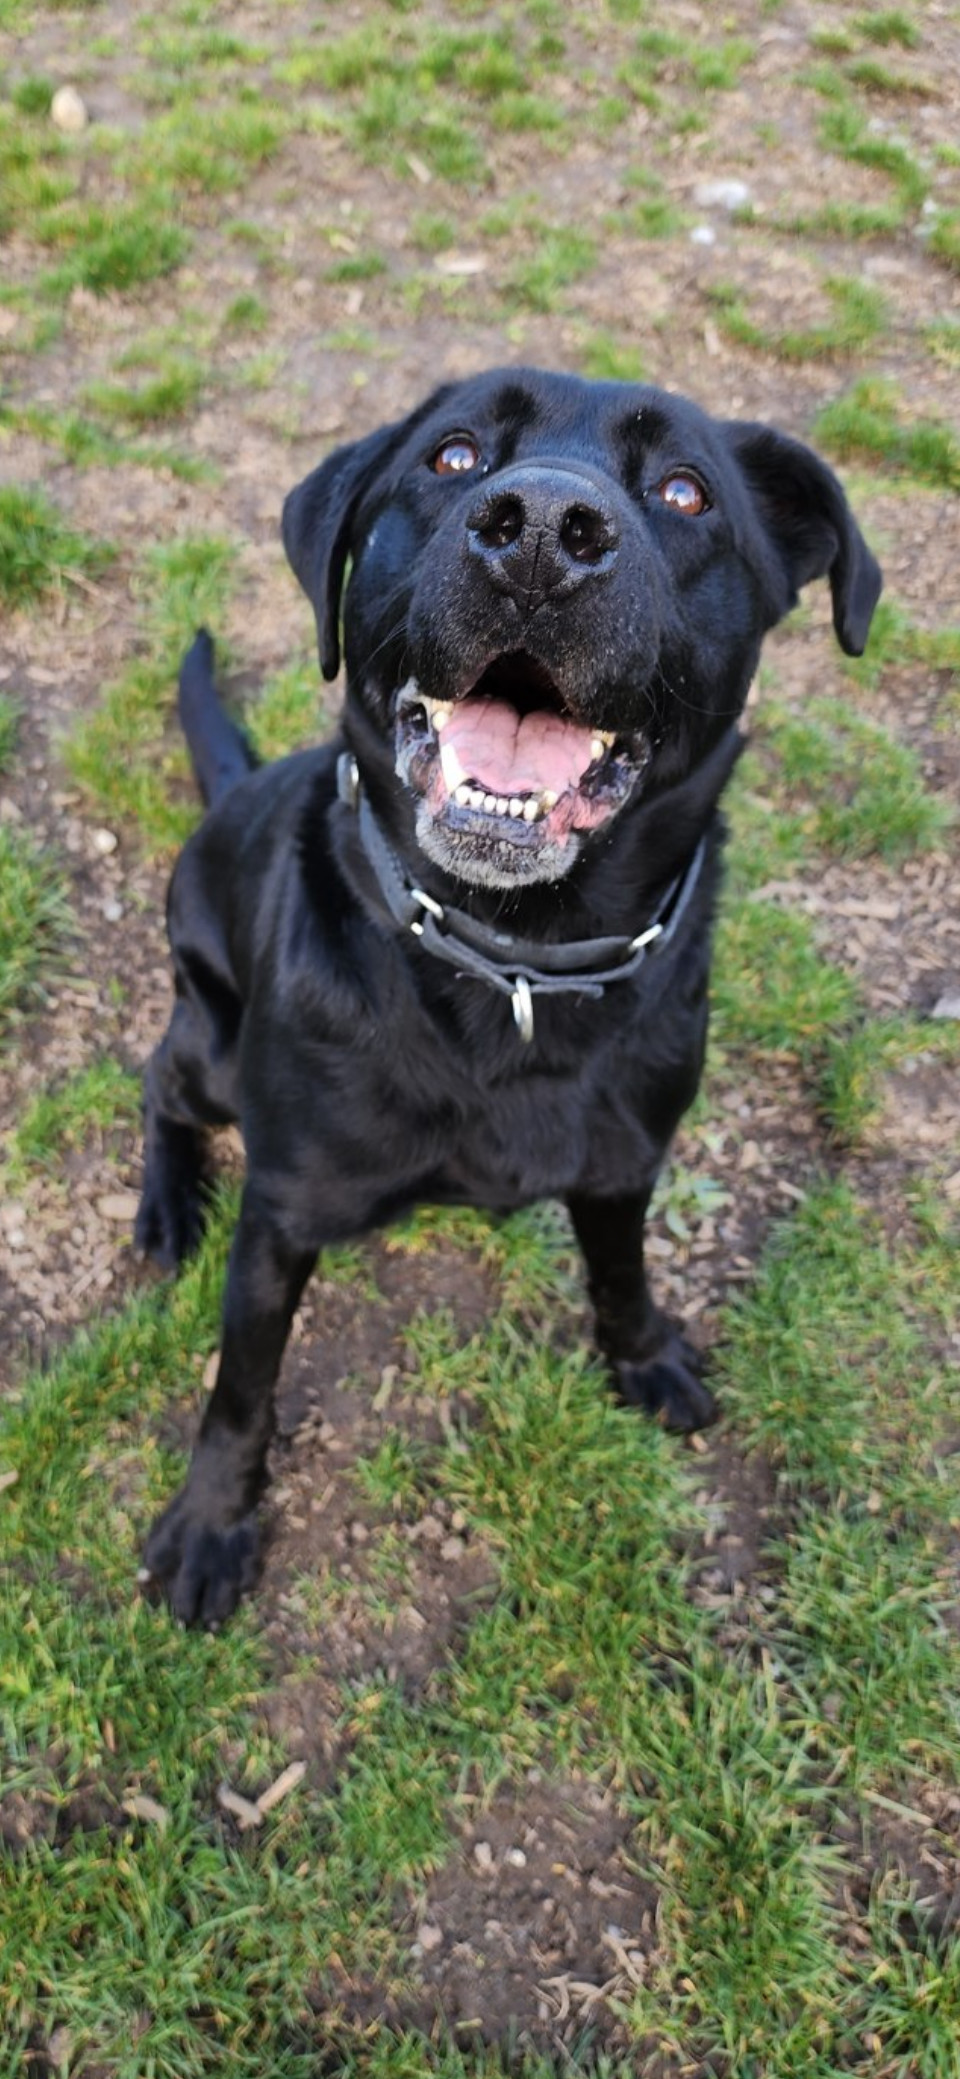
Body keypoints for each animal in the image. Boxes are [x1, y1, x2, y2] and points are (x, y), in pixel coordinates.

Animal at [139, 370, 881, 1621]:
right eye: (451, 457)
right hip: (210, 1047)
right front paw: (210, 1523)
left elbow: (622, 1270)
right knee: (156, 1079)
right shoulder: (281, 1211)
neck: (514, 957)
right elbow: (241, 1385)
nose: (539, 531)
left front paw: (644, 1356)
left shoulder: (625, 1161)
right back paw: (162, 1209)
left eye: (686, 491)